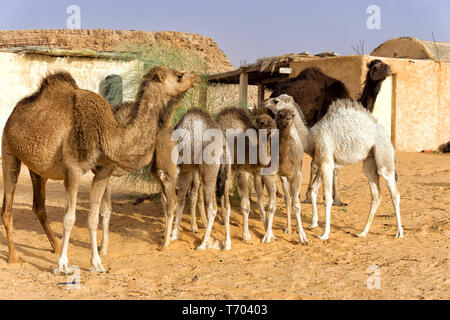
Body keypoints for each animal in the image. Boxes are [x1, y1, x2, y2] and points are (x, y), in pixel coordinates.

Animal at [1, 67, 199, 272]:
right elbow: (70, 218)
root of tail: (16, 109)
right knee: (7, 206)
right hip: (9, 149)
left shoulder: (104, 171)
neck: (107, 133)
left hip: (38, 169)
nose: (196, 77)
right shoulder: (73, 170)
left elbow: (94, 217)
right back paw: (14, 257)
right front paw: (63, 265)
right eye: (178, 76)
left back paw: (55, 246)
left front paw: (97, 263)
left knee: (38, 206)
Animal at [308, 99, 402, 239]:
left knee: (394, 193)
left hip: (384, 158)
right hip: (369, 163)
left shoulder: (326, 161)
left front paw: (324, 234)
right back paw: (362, 232)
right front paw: (314, 224)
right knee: (376, 195)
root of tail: (389, 140)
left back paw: (399, 233)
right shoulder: (322, 163)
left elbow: (327, 197)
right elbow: (313, 189)